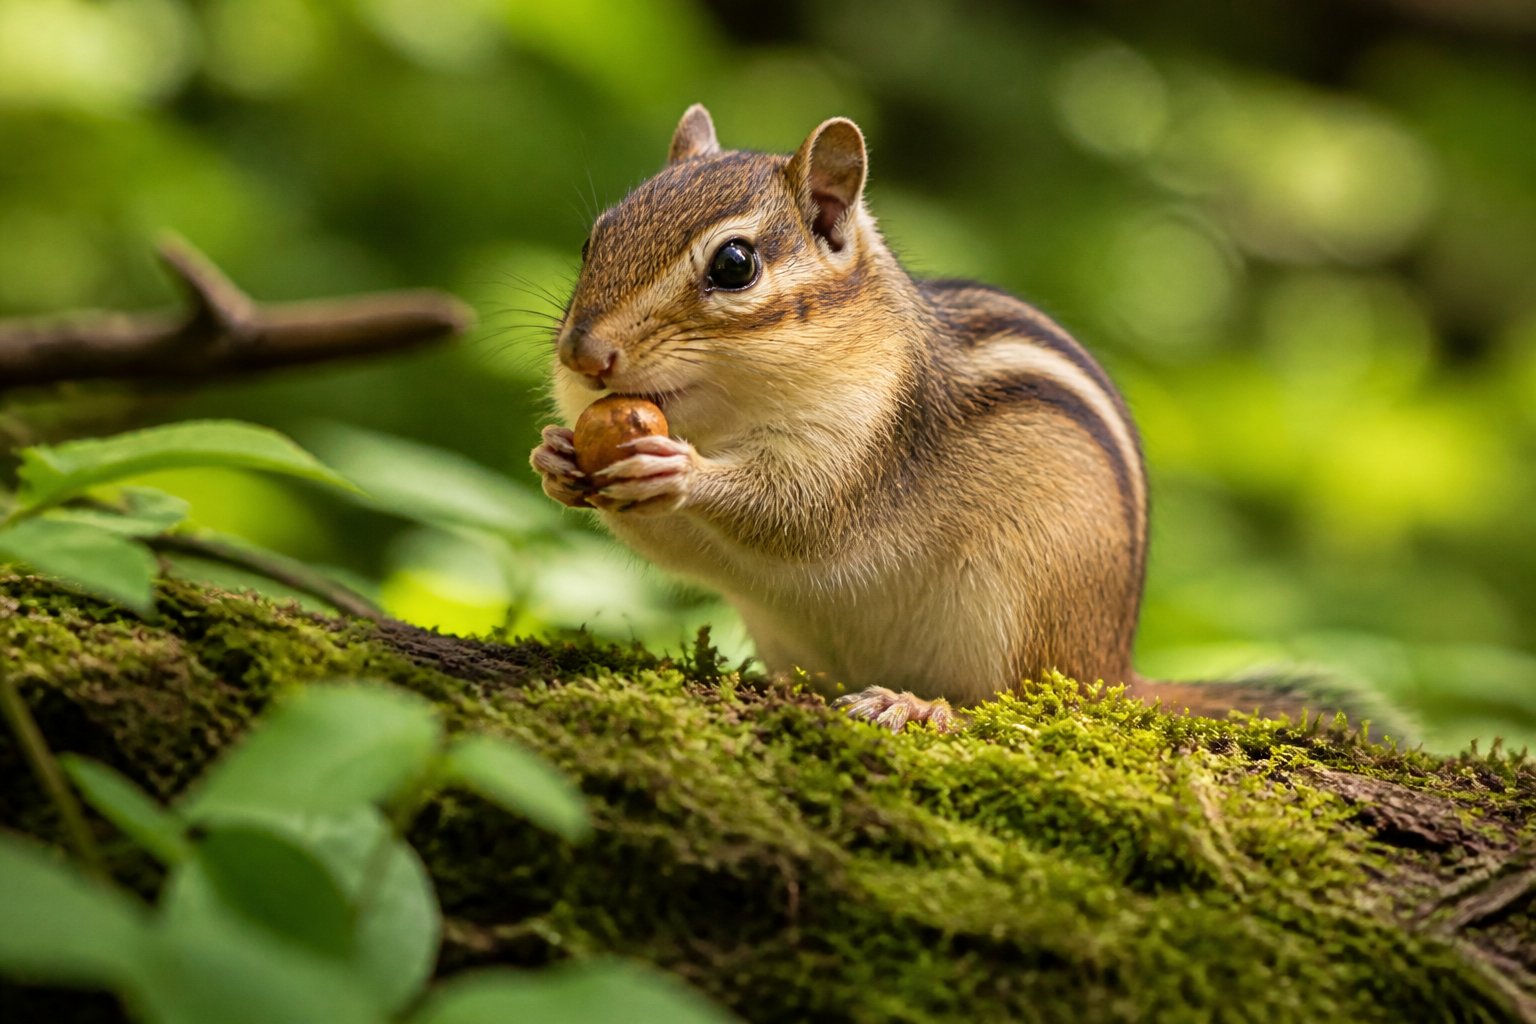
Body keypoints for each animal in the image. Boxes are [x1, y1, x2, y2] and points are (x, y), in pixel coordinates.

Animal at [530, 104, 1407, 737]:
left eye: (735, 264)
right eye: (594, 237)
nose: (583, 355)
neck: (721, 413)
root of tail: (1113, 668)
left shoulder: (869, 445)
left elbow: (799, 513)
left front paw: (679, 469)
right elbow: (673, 544)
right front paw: (555, 457)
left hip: (1024, 606)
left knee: (1024, 703)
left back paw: (920, 704)